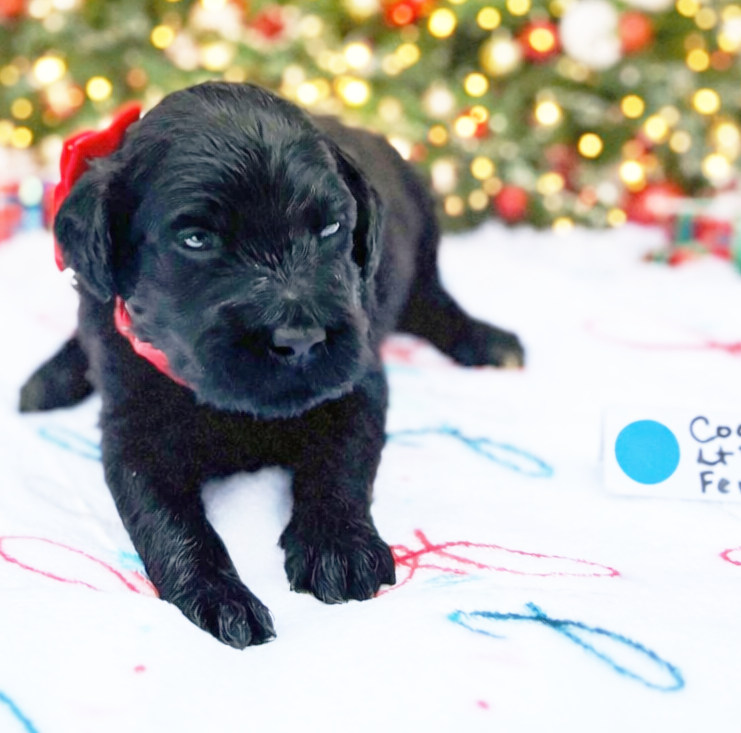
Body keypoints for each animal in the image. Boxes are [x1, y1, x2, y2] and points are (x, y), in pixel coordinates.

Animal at [20, 82, 524, 648]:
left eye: (331, 227)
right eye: (196, 239)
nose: (300, 340)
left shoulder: (356, 381)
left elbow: (342, 463)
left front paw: (340, 547)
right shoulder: (131, 425)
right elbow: (163, 517)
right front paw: (220, 598)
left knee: (434, 302)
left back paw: (488, 341)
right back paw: (48, 380)